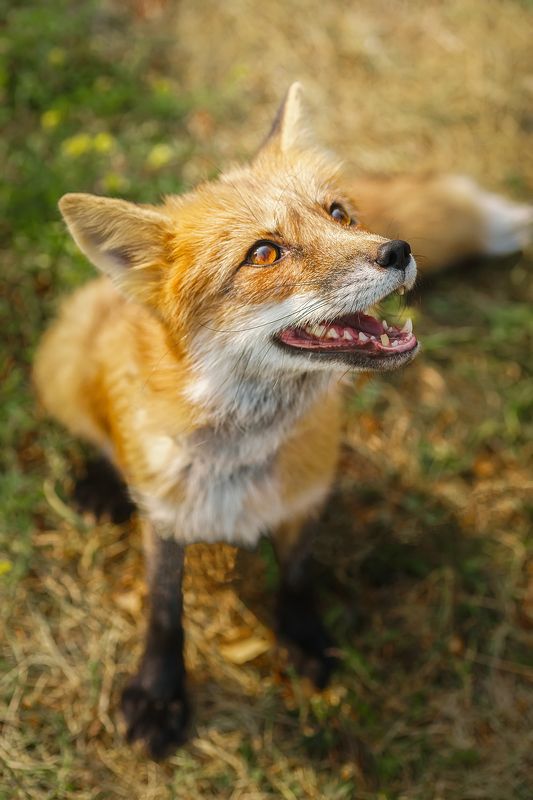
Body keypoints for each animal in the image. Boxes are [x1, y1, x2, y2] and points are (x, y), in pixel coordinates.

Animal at [33, 83, 533, 759]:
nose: (397, 249)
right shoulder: (164, 520)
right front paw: (160, 696)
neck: (240, 456)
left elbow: (295, 579)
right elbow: (164, 614)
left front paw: (303, 641)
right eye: (264, 253)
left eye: (340, 215)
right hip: (63, 365)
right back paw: (101, 481)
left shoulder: (305, 499)